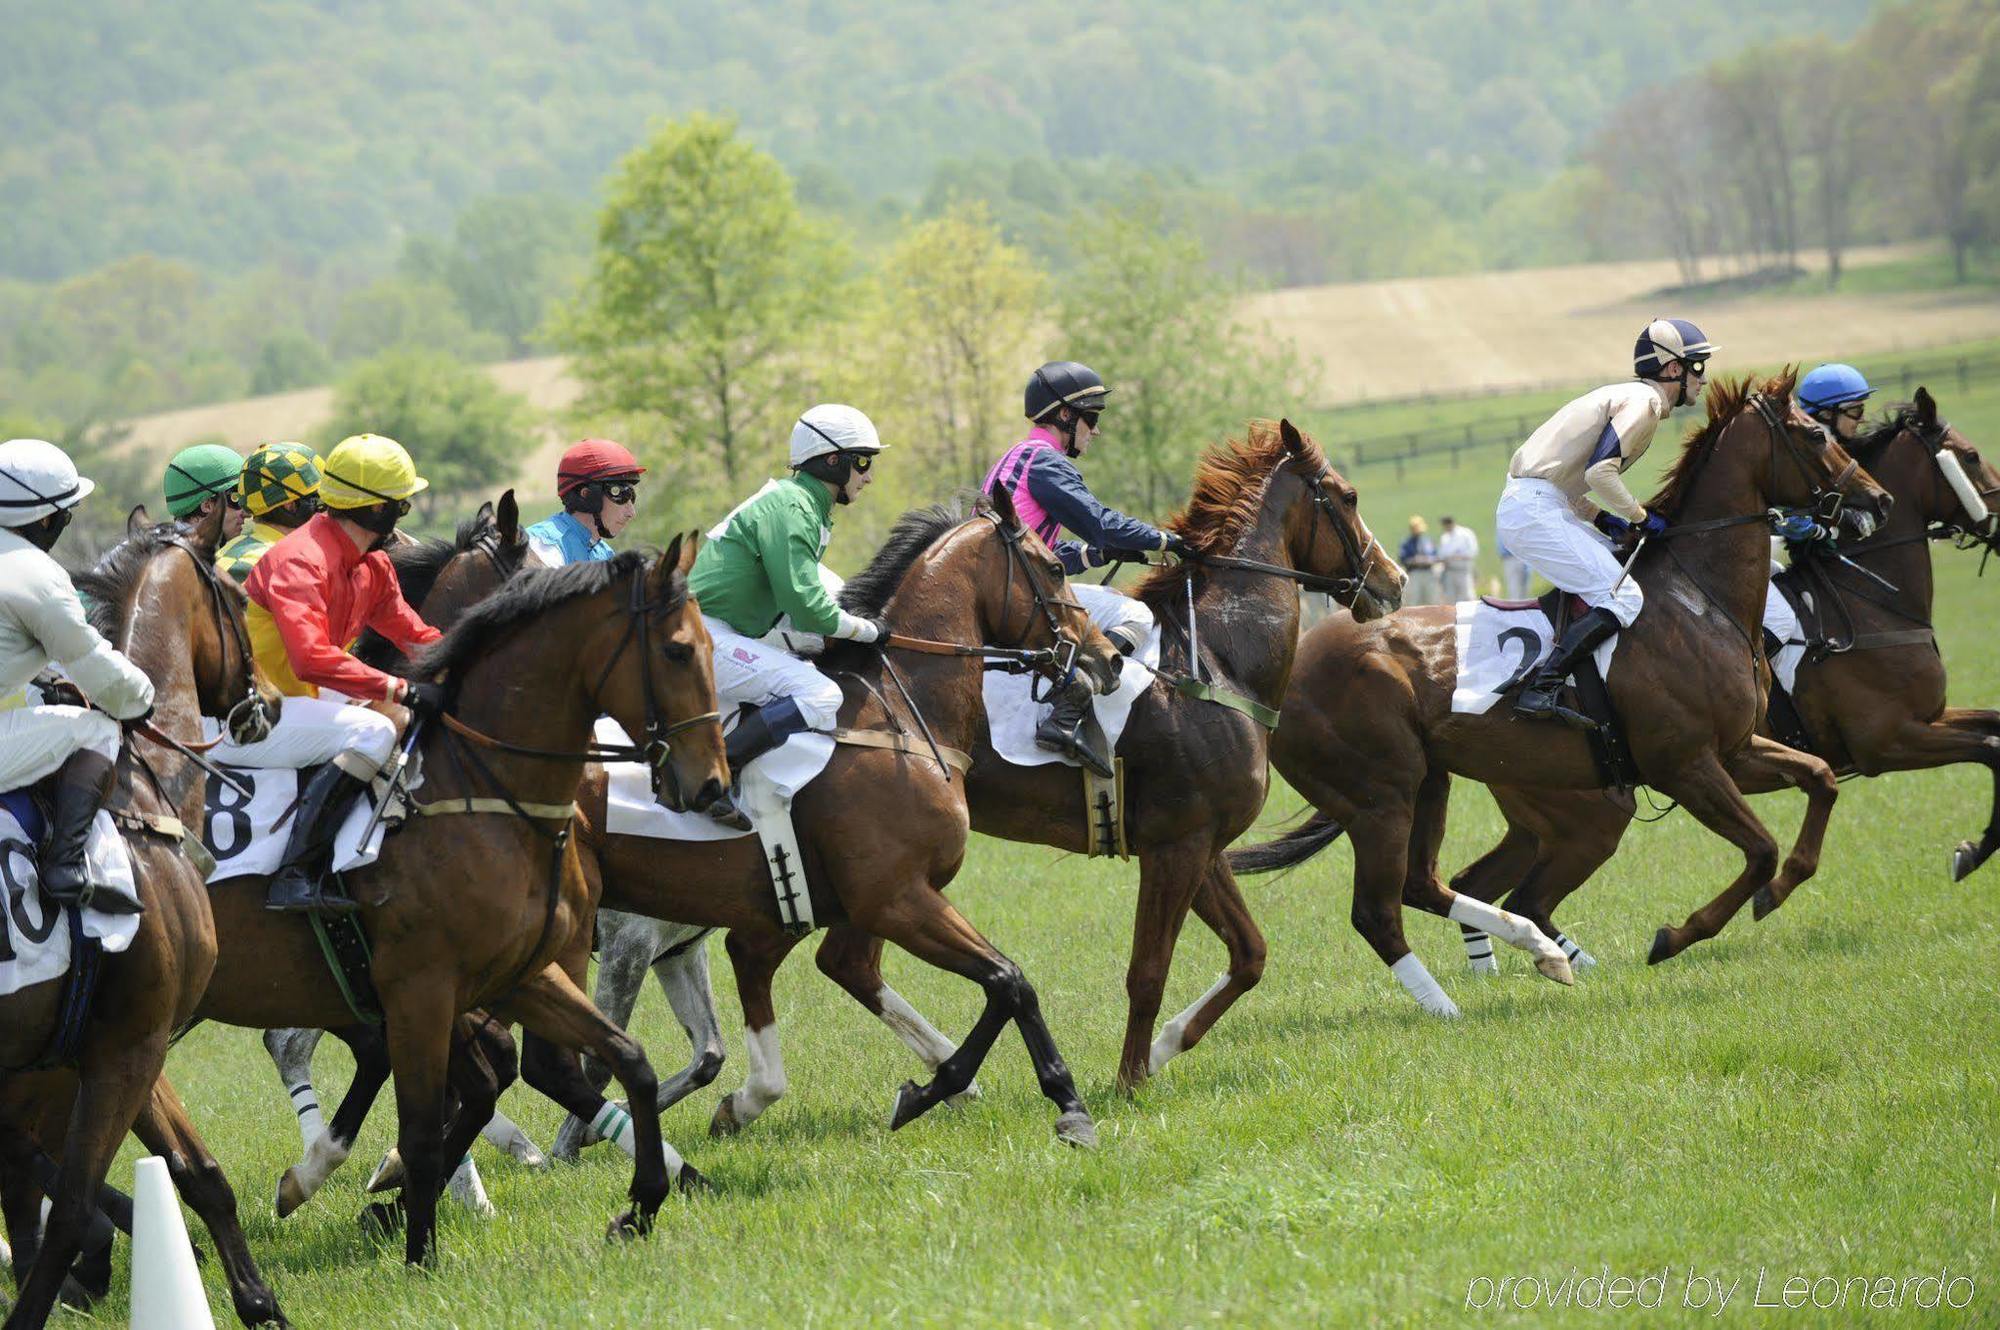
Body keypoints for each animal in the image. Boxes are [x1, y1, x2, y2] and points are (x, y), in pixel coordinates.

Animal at [0, 512, 290, 1328]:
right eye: (237, 593)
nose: (268, 701)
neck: (135, 793)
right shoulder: (130, 1046)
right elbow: (70, 1210)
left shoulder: (126, 1043)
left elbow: (199, 1174)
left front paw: (258, 1301)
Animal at [188, 536, 732, 1264]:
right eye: (677, 650)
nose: (710, 787)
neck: (480, 791)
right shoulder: (423, 988)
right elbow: (429, 1124)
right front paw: (418, 1247)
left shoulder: (520, 973)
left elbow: (626, 1060)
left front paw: (641, 1204)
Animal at [1224, 374, 1896, 1016]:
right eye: (1816, 434)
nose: (1879, 500)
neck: (1698, 599)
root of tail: (1287, 669)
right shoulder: (1685, 764)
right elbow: (1759, 848)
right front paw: (1678, 935)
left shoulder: (1734, 749)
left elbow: (1820, 781)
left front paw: (1776, 892)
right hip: (1381, 797)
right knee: (1382, 908)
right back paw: (1456, 1001)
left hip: (1427, 782)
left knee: (1428, 884)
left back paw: (1538, 955)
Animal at [1432, 384, 2000, 964]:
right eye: (1972, 456)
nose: (1879, 501)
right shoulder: (1880, 740)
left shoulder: (1769, 747)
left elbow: (1980, 738)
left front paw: (1972, 849)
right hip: (1590, 817)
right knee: (1523, 896)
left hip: (1548, 820)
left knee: (1483, 885)